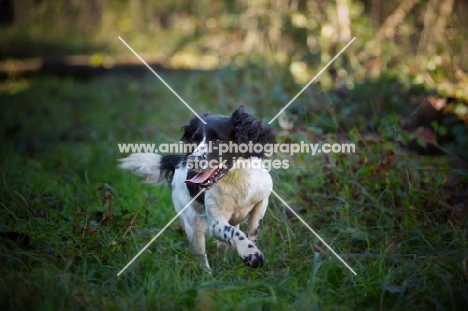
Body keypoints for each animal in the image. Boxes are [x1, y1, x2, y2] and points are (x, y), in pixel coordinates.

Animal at [119, 106, 276, 272]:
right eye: (194, 140)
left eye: (218, 140)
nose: (192, 160)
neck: (236, 180)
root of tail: (179, 161)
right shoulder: (215, 222)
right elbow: (234, 232)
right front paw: (251, 254)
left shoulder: (262, 200)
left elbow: (253, 229)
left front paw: (250, 250)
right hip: (192, 223)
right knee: (201, 254)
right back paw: (208, 273)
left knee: (223, 246)